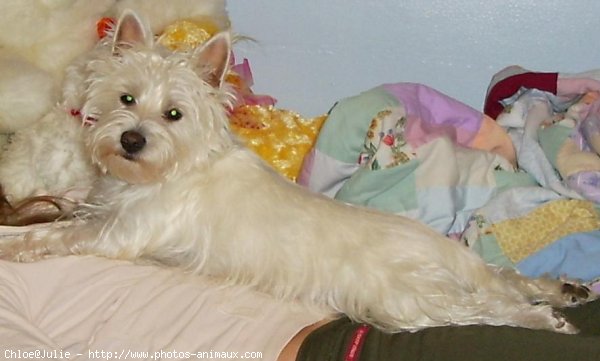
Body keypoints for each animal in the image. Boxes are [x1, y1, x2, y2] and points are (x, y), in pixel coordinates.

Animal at [0, 9, 592, 334]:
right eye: (126, 98)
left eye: (173, 114)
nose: (130, 140)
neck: (172, 168)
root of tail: (444, 252)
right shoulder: (105, 209)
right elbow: (68, 211)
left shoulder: (118, 234)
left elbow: (54, 235)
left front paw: (12, 240)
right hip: (442, 283)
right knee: (508, 279)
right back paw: (564, 289)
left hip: (405, 299)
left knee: (492, 306)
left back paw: (545, 318)